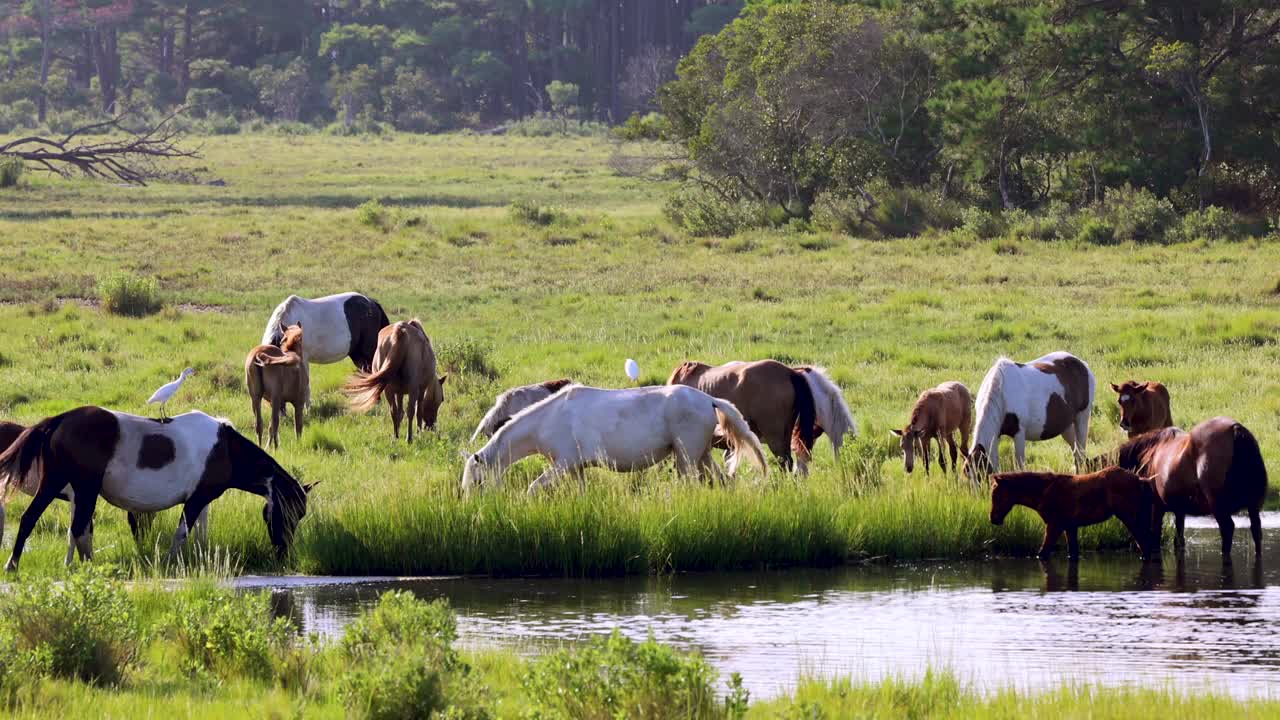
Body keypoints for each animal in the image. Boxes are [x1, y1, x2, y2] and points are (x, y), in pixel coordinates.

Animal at [0, 404, 309, 566]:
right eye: (291, 513)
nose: (284, 552)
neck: (226, 448)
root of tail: (62, 419)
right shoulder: (196, 500)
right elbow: (182, 533)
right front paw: (172, 563)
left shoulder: (203, 501)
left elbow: (201, 533)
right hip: (84, 489)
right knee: (77, 530)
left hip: (54, 482)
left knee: (30, 519)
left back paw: (13, 566)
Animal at [962, 351, 1095, 479]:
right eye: (968, 477)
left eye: (980, 475)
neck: (1001, 391)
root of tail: (1082, 364)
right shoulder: (997, 433)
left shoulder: (1019, 434)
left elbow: (1020, 466)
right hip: (1066, 426)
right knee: (1076, 453)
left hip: (1082, 417)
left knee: (1081, 453)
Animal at [983, 466, 1157, 561]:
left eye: (995, 494)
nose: (993, 519)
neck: (1044, 491)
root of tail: (1140, 480)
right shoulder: (1070, 527)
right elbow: (1073, 553)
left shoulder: (1054, 526)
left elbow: (1043, 553)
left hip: (1130, 518)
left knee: (1145, 544)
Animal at [1116, 415, 1264, 561]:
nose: (1141, 549)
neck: (1149, 454)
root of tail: (1235, 429)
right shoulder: (1179, 510)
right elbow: (1179, 540)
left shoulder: (1156, 507)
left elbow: (1156, 538)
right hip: (1253, 505)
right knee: (1256, 530)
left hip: (1219, 507)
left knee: (1227, 529)